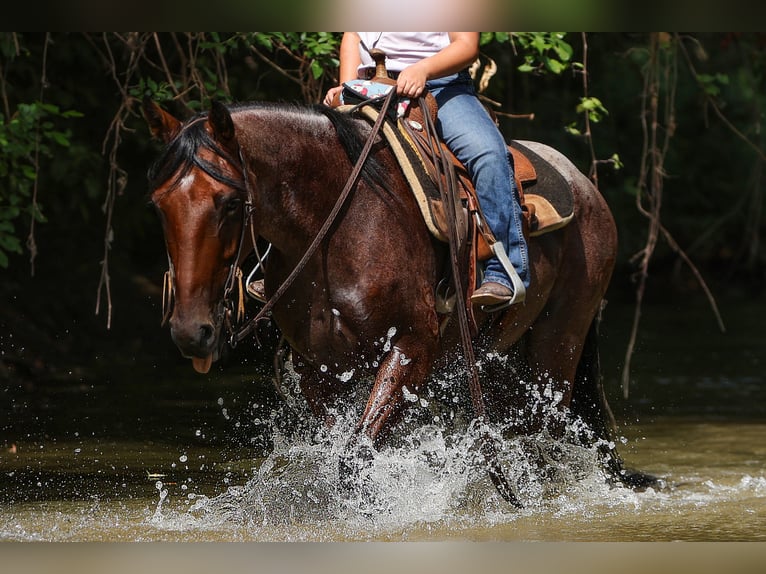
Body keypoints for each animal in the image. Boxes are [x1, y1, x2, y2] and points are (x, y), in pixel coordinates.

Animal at [142, 95, 640, 500]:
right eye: (159, 205)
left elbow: (356, 455)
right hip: (496, 362)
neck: (338, 226)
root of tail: (585, 184)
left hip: (556, 350)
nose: (191, 332)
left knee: (541, 435)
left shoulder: (411, 346)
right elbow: (341, 452)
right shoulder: (318, 369)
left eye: (229, 203)